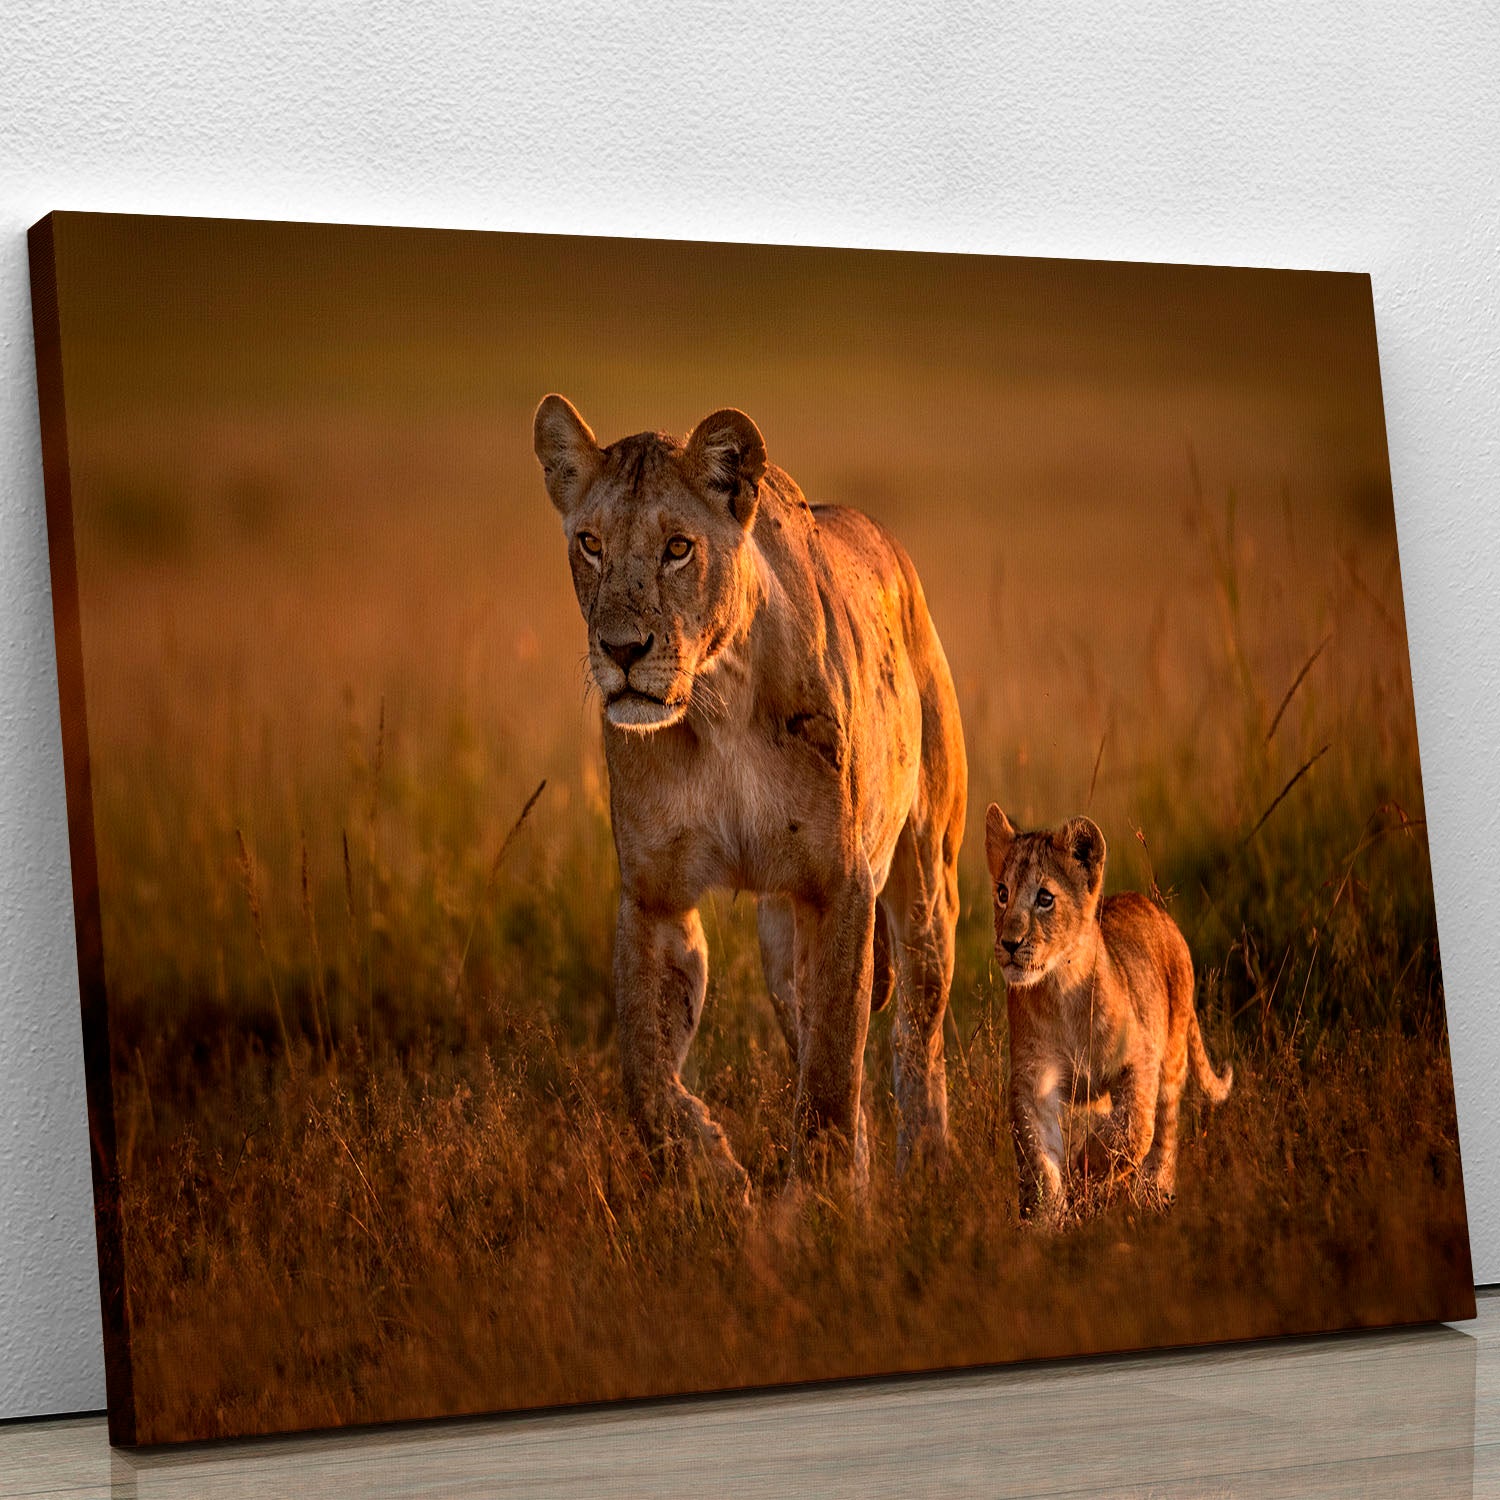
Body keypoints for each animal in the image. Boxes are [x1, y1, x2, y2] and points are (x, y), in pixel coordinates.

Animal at [534, 394, 967, 1196]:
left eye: (678, 548)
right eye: (589, 543)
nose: (621, 650)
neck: (716, 704)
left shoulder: (839, 886)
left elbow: (831, 1076)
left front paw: (822, 1202)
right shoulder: (654, 896)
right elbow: (647, 1076)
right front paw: (711, 1170)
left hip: (927, 876)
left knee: (915, 1037)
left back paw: (927, 1168)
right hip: (780, 937)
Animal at [983, 804, 1232, 1220]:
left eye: (1045, 898)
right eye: (1002, 893)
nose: (1010, 943)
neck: (1060, 988)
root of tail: (1153, 908)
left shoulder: (1139, 1058)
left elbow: (1133, 1129)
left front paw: (1084, 1172)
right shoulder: (1034, 1080)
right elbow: (1038, 1158)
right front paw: (1046, 1219)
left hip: (1173, 1054)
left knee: (1164, 1131)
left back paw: (1154, 1196)